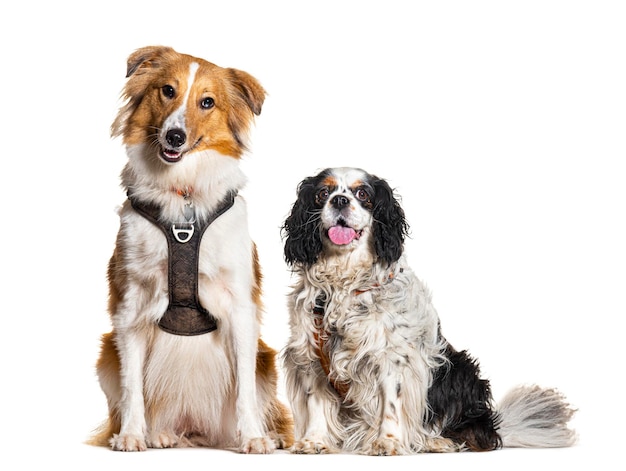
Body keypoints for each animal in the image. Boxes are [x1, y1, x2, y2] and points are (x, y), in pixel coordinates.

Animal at [89, 47, 292, 454]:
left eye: (207, 102)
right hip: (106, 353)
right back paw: (159, 433)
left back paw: (270, 435)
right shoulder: (130, 305)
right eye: (168, 90)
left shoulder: (240, 307)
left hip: (266, 357)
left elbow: (245, 389)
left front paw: (253, 438)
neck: (183, 195)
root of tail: (194, 427)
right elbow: (133, 385)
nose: (175, 136)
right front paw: (132, 434)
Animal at [280, 168, 572, 456]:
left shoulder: (393, 356)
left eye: (363, 194)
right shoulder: (311, 355)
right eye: (323, 193)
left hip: (461, 369)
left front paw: (387, 442)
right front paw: (314, 441)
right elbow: (316, 403)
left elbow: (391, 404)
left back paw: (438, 441)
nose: (339, 200)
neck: (344, 283)